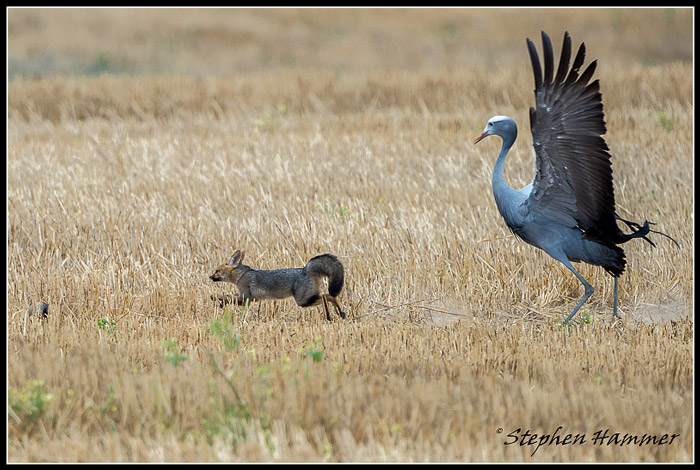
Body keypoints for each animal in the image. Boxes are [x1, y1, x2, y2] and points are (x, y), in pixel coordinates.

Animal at [209, 249, 346, 321]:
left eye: (216, 271)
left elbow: (226, 296)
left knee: (327, 297)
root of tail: (306, 269)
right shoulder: (248, 300)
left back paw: (333, 314)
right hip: (307, 300)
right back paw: (338, 313)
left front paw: (215, 298)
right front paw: (220, 303)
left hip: (302, 301)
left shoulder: (246, 298)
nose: (210, 277)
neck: (242, 274)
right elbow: (228, 297)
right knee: (329, 296)